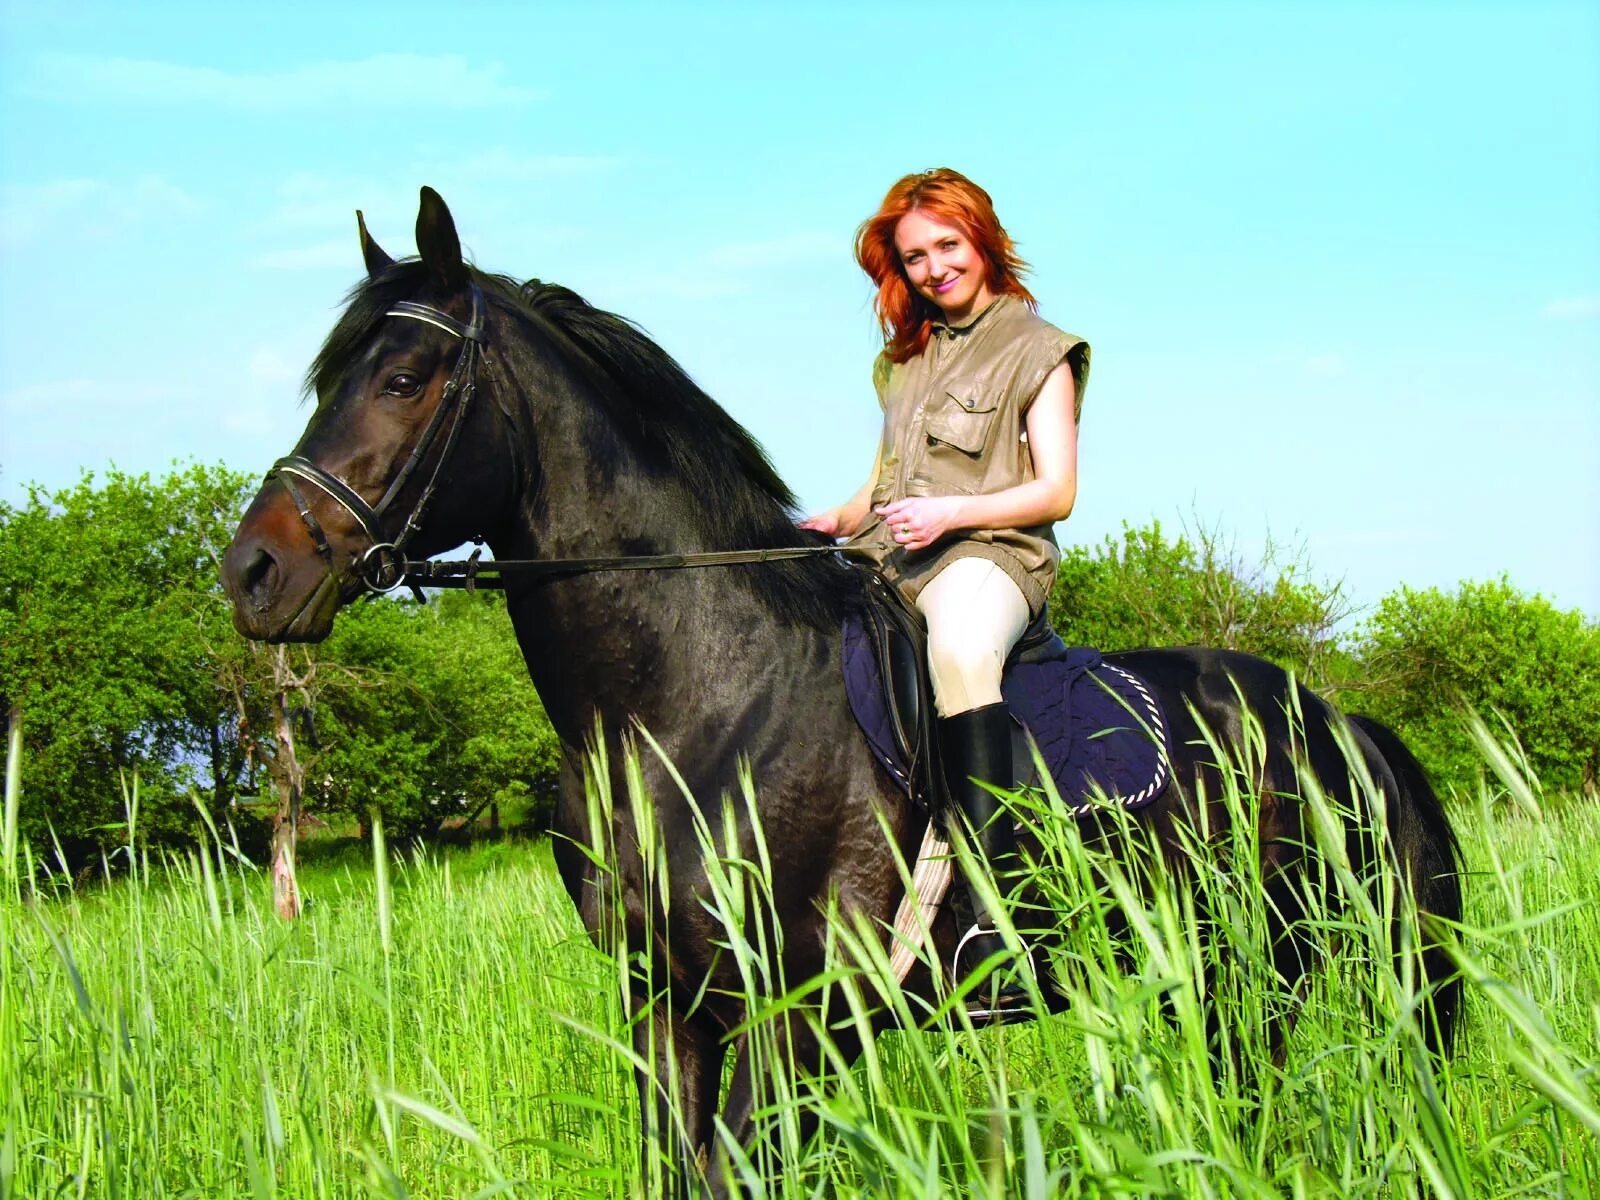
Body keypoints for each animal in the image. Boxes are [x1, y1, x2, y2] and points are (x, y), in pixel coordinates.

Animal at [222, 190, 1465, 1200]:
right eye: (328, 380)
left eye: (400, 380)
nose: (253, 572)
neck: (693, 706)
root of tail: (1336, 720)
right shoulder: (663, 1005)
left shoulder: (799, 1019)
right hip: (1215, 973)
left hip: (1271, 964)